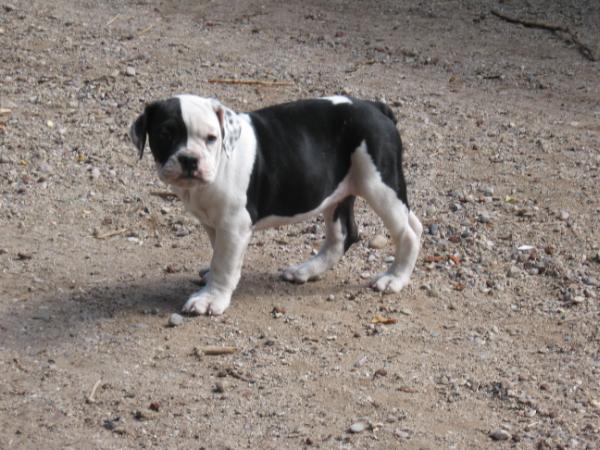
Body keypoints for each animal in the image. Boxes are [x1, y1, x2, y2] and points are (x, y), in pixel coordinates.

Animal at [131, 94, 422, 316]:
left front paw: (211, 298)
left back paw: (395, 278)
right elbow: (220, 256)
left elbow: (224, 263)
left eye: (211, 138)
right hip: (339, 192)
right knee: (347, 235)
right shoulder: (216, 224)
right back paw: (305, 271)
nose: (190, 159)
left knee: (407, 233)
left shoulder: (233, 225)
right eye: (164, 134)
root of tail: (375, 107)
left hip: (379, 185)